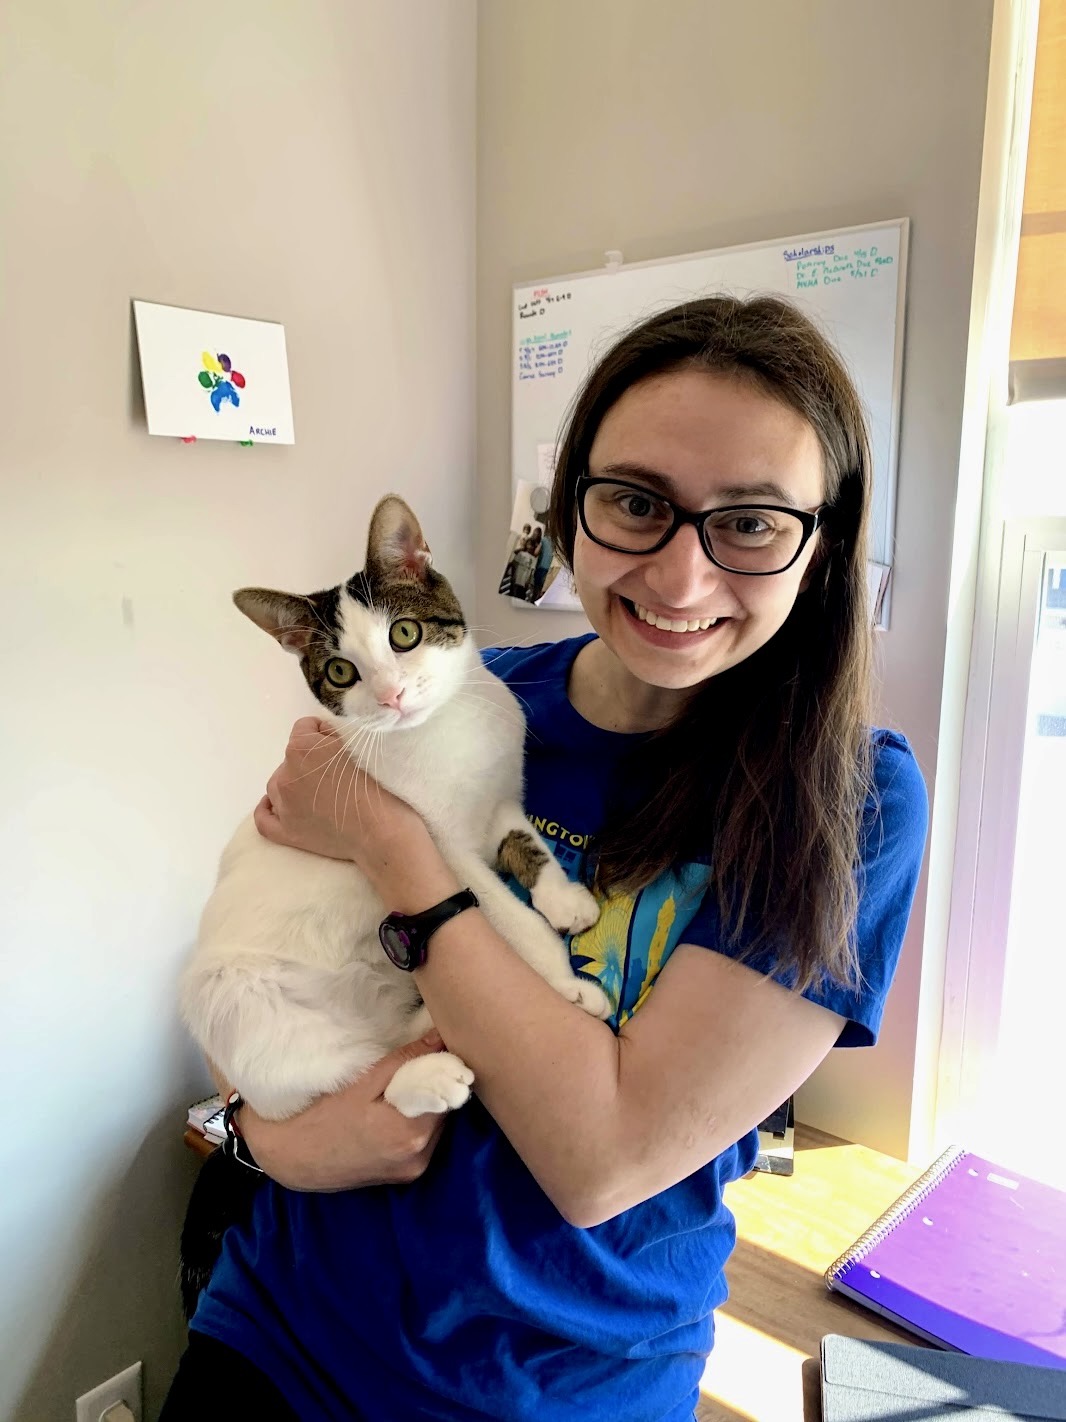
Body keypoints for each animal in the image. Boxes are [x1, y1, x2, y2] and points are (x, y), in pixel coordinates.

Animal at [179, 494, 605, 1126]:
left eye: (404, 634)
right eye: (340, 672)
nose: (391, 696)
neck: (448, 726)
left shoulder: (500, 793)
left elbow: (524, 840)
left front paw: (563, 899)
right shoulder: (442, 848)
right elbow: (508, 916)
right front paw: (564, 982)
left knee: (381, 1046)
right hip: (235, 1004)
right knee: (337, 1084)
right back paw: (425, 1078)